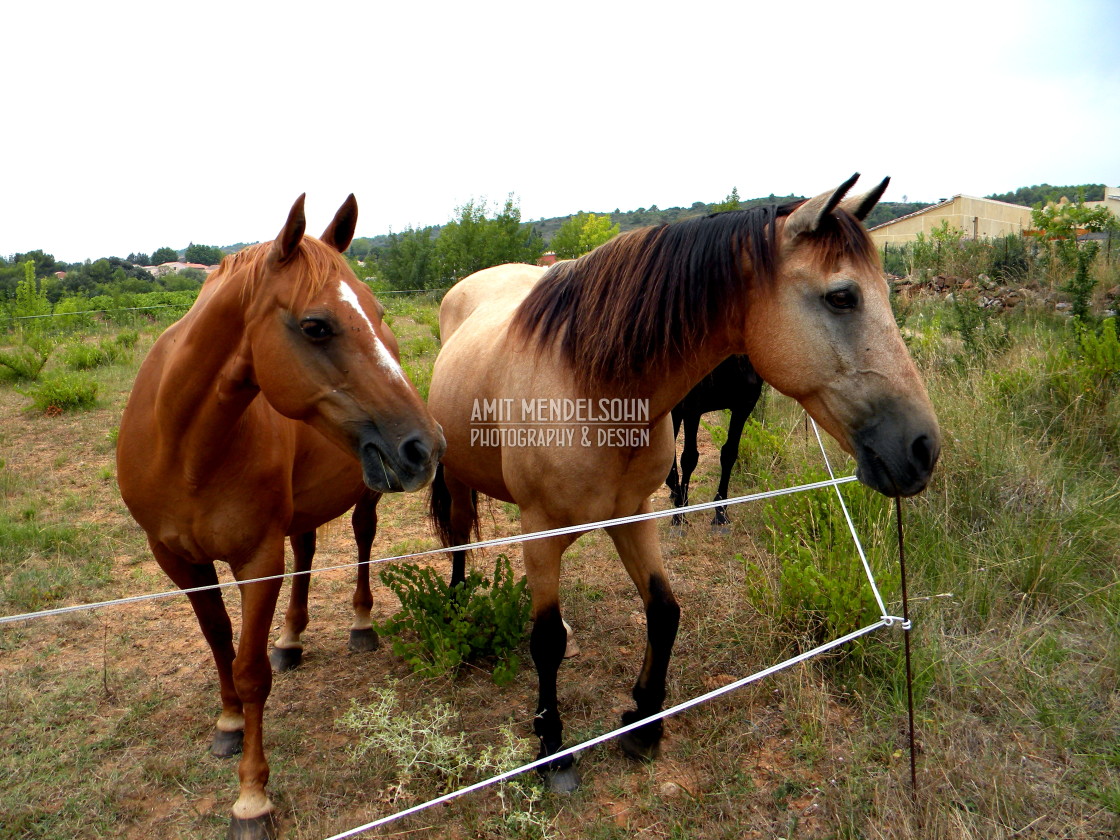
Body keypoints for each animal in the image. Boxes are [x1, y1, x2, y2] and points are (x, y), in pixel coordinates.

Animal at [117, 196, 441, 837]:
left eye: (376, 311)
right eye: (316, 326)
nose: (426, 447)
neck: (185, 447)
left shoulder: (257, 560)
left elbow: (250, 670)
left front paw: (251, 797)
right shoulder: (178, 561)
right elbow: (219, 641)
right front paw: (227, 723)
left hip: (366, 492)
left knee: (362, 542)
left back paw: (359, 625)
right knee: (308, 552)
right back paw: (291, 639)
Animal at [423, 174, 940, 792]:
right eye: (843, 296)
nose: (923, 448)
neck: (590, 387)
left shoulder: (633, 515)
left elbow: (664, 612)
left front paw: (644, 720)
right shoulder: (540, 532)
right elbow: (544, 642)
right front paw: (553, 746)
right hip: (458, 477)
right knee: (458, 537)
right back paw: (456, 606)